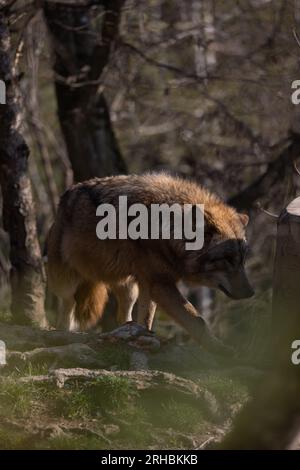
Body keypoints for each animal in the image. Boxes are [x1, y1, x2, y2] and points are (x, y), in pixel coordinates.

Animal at [47, 173, 253, 346]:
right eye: (228, 259)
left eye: (242, 260)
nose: (251, 293)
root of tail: (66, 195)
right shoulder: (159, 284)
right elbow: (197, 320)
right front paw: (221, 350)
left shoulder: (150, 284)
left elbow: (147, 319)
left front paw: (145, 336)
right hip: (66, 282)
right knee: (68, 305)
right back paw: (63, 332)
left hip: (129, 288)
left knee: (124, 317)